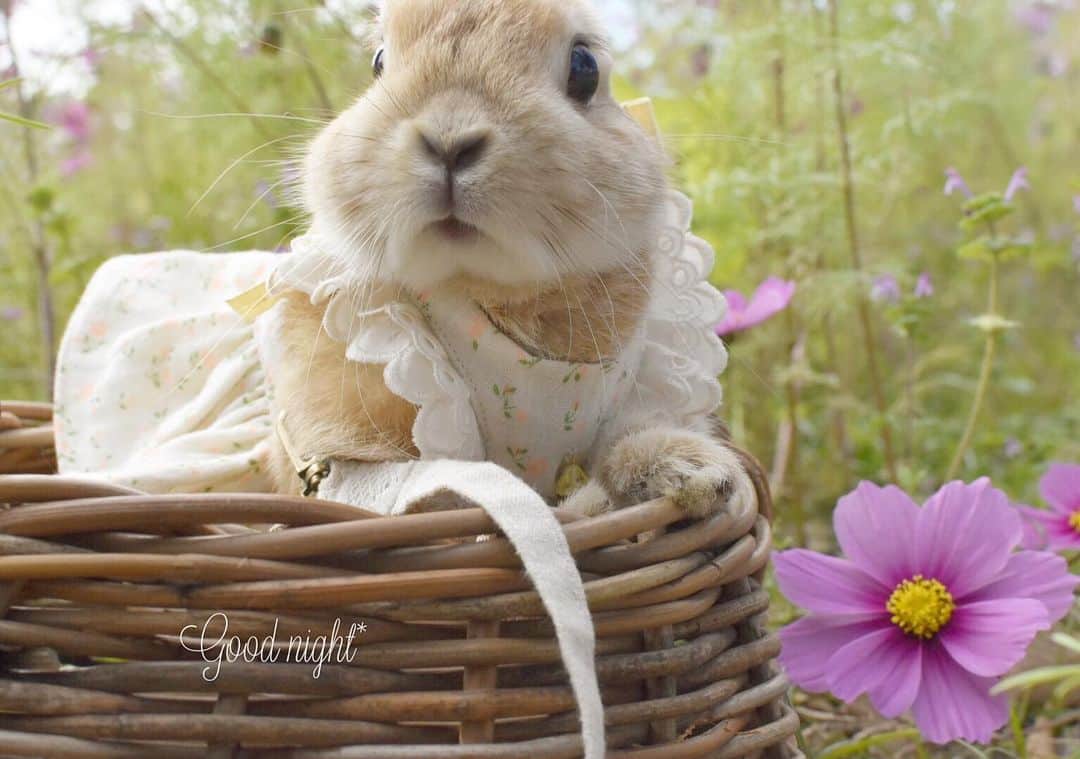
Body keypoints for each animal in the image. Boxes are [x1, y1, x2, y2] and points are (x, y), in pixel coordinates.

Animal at [265, 0, 756, 520]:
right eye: (379, 62)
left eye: (585, 68)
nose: (449, 139)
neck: (486, 288)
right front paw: (604, 499)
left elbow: (633, 437)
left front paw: (696, 473)